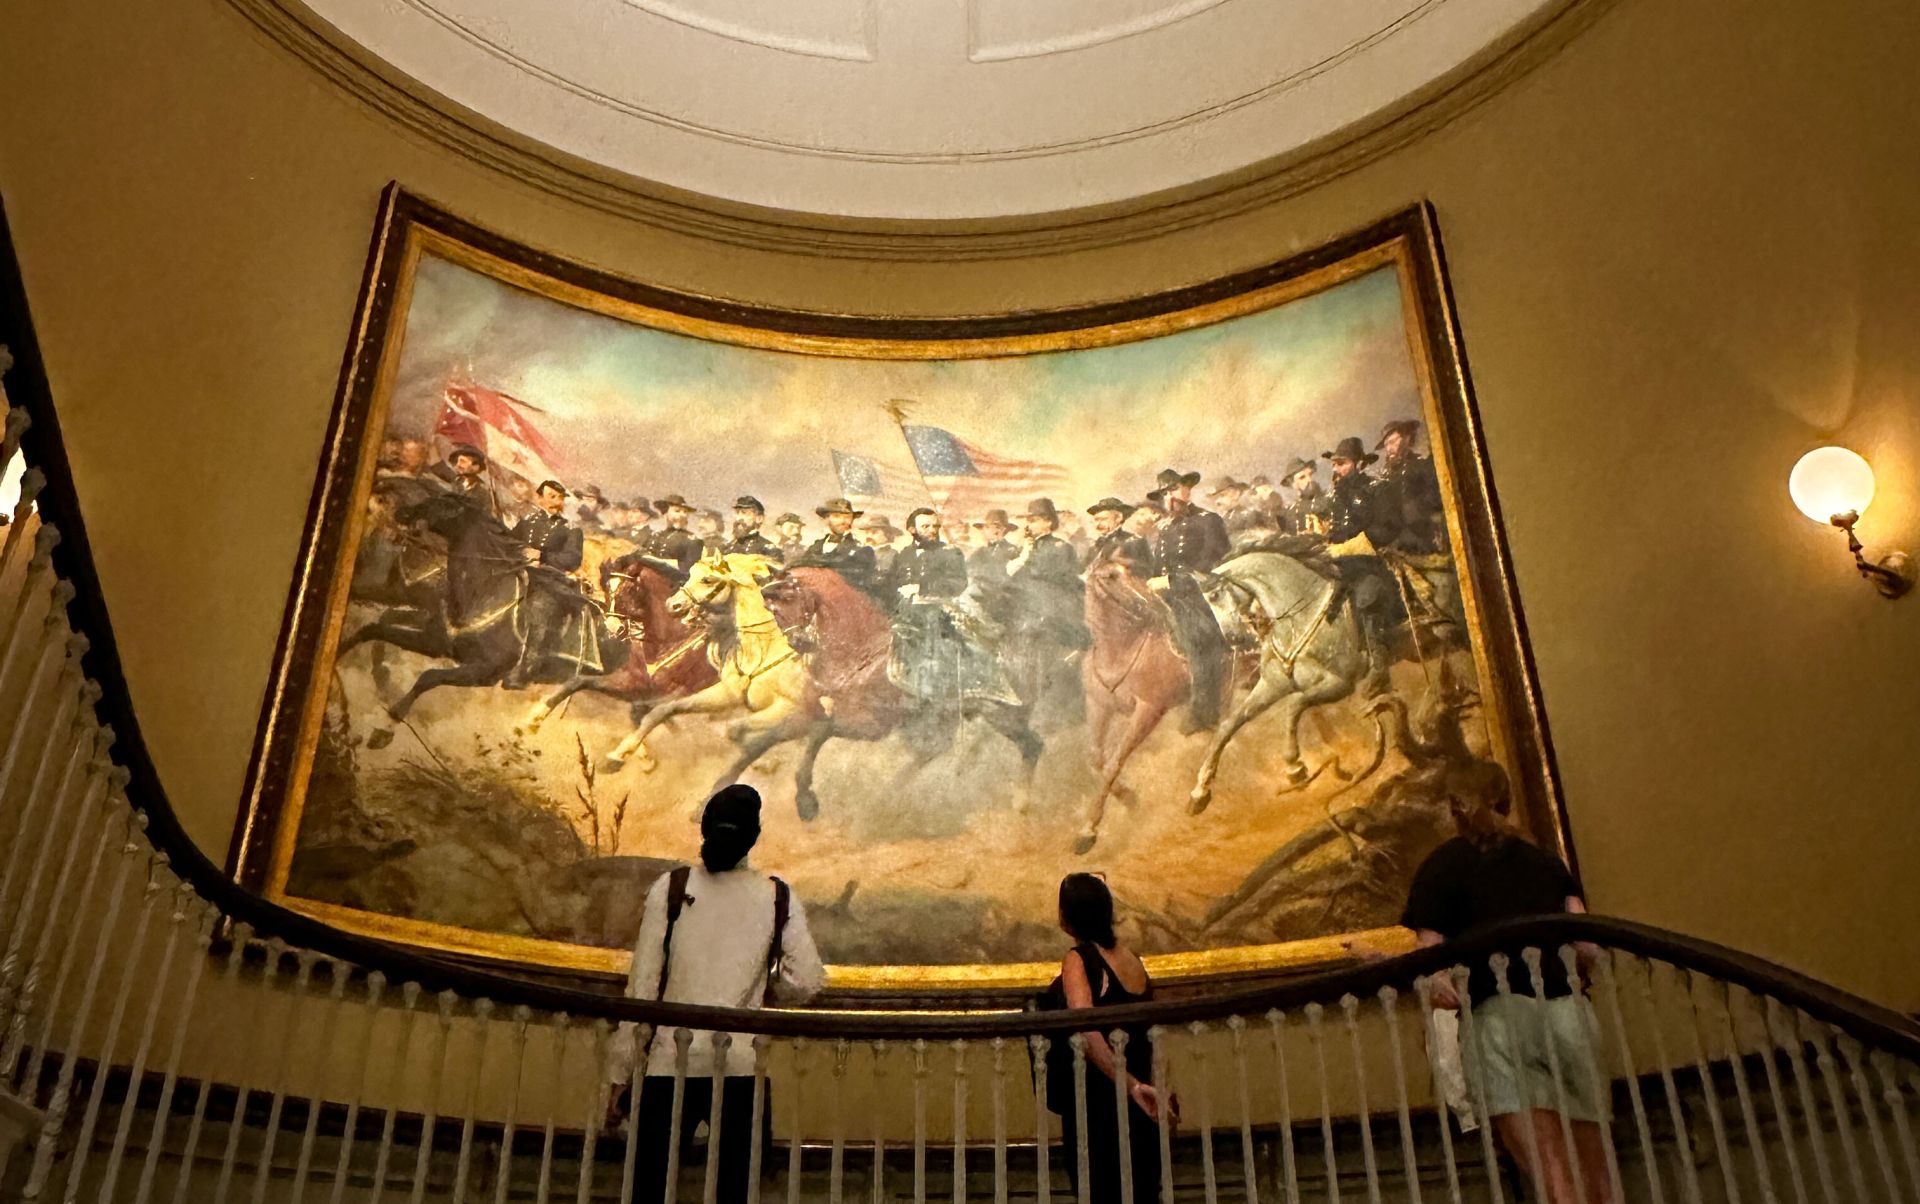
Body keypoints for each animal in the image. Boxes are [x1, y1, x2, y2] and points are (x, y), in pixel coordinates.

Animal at [514, 564, 718, 745]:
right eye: (607, 589)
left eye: (628, 589)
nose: (612, 627)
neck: (668, 640)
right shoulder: (630, 683)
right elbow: (578, 681)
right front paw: (534, 718)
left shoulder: (677, 692)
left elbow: (647, 712)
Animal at [1082, 564, 1182, 856]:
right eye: (1111, 577)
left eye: (1127, 570)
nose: (1148, 603)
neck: (1118, 655)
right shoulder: (1098, 706)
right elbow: (1096, 759)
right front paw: (1131, 800)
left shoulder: (1148, 710)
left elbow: (1114, 762)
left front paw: (1088, 831)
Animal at [1182, 553, 1367, 814]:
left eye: (1215, 596)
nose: (1233, 638)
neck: (1297, 620)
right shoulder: (1272, 686)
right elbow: (1229, 725)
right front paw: (1200, 791)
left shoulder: (1341, 683)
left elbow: (1294, 705)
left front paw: (1294, 767)